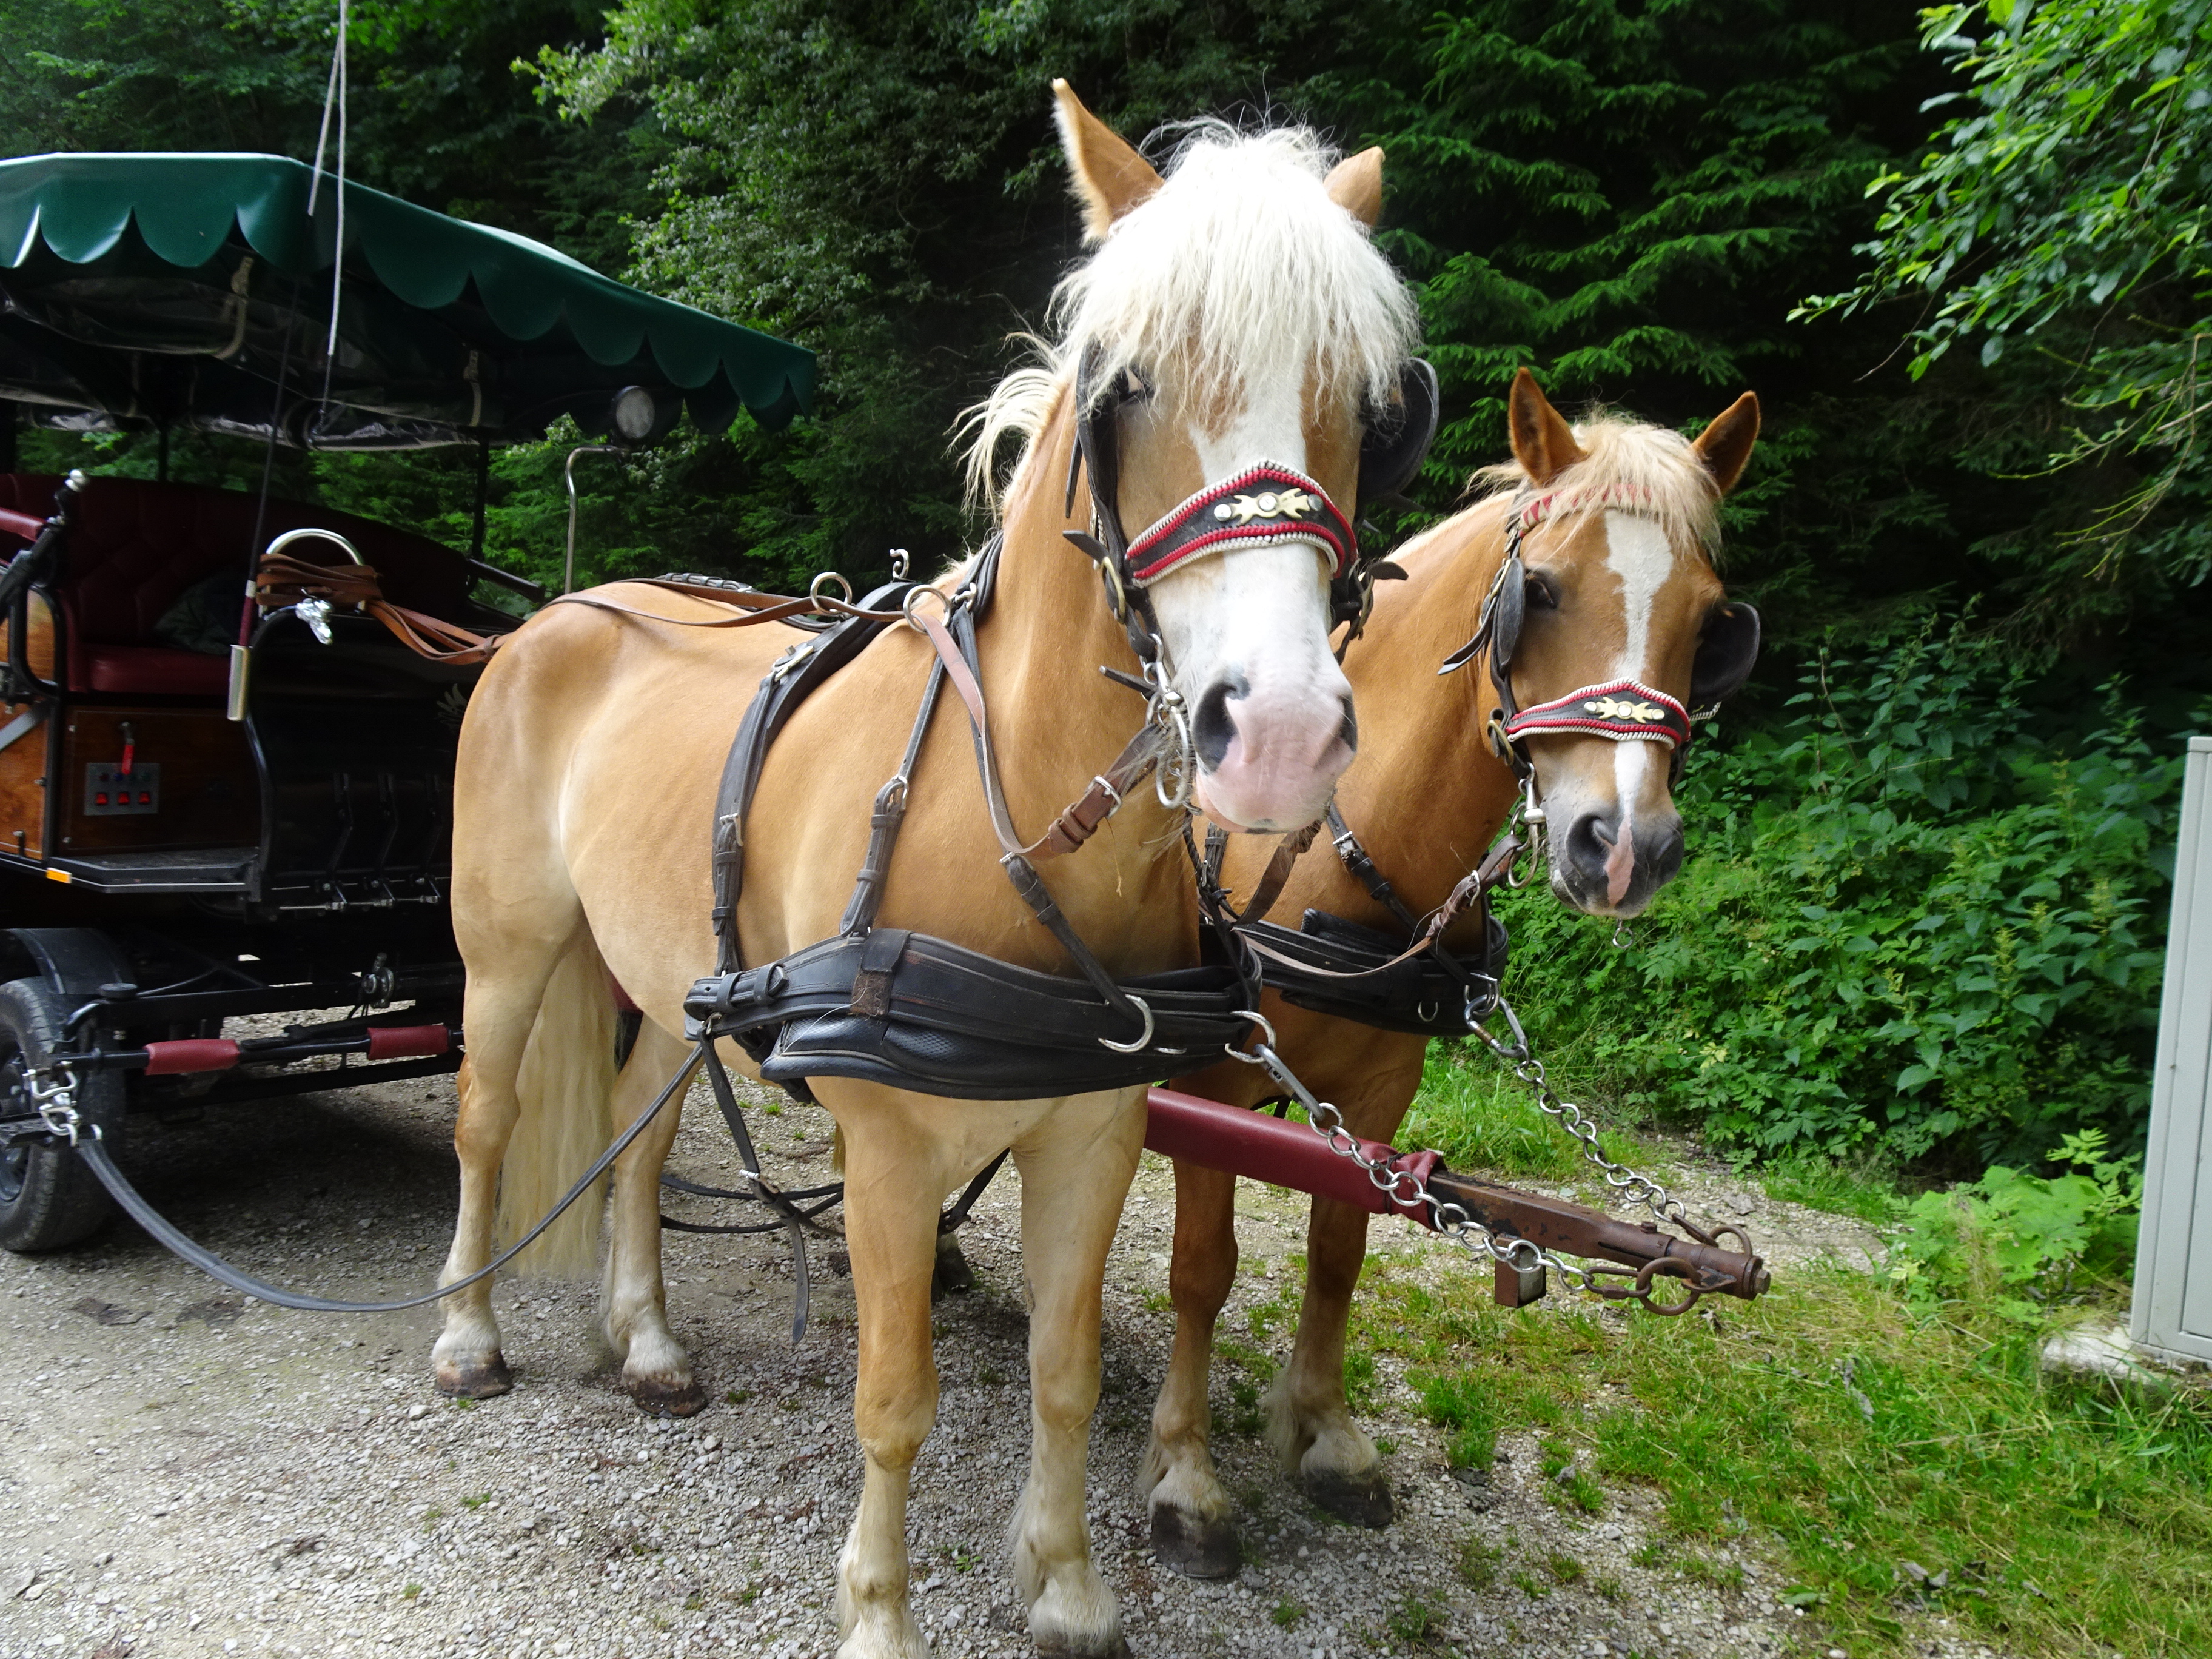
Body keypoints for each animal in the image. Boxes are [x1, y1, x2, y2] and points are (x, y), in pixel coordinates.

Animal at [430, 83, 1421, 1658]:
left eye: (1368, 408)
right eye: (1128, 383)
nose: (1274, 733)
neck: (1003, 806)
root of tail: (561, 612)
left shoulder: (1094, 1128)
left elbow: (1063, 1369)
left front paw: (1068, 1585)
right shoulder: (892, 1153)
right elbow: (895, 1397)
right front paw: (880, 1617)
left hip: (672, 979)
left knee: (639, 1132)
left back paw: (646, 1340)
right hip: (510, 945)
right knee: (485, 1118)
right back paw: (467, 1332)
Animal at [1138, 368, 1762, 1576]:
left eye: (1712, 622)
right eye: (1544, 593)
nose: (1625, 846)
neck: (1328, 851)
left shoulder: (1381, 1089)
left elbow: (1340, 1250)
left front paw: (1327, 1436)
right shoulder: (1207, 1083)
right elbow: (1203, 1267)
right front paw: (1185, 1475)